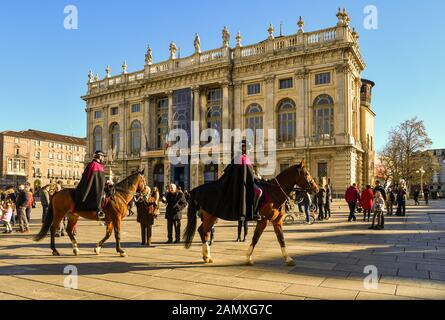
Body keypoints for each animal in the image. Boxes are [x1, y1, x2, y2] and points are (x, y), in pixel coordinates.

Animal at [182, 161, 318, 266]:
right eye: (306, 174)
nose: (316, 189)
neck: (273, 193)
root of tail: (195, 190)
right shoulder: (263, 220)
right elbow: (256, 238)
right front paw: (248, 258)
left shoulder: (277, 221)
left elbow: (281, 239)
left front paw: (288, 258)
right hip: (210, 216)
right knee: (202, 231)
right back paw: (206, 256)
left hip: (210, 215)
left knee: (203, 231)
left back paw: (206, 256)